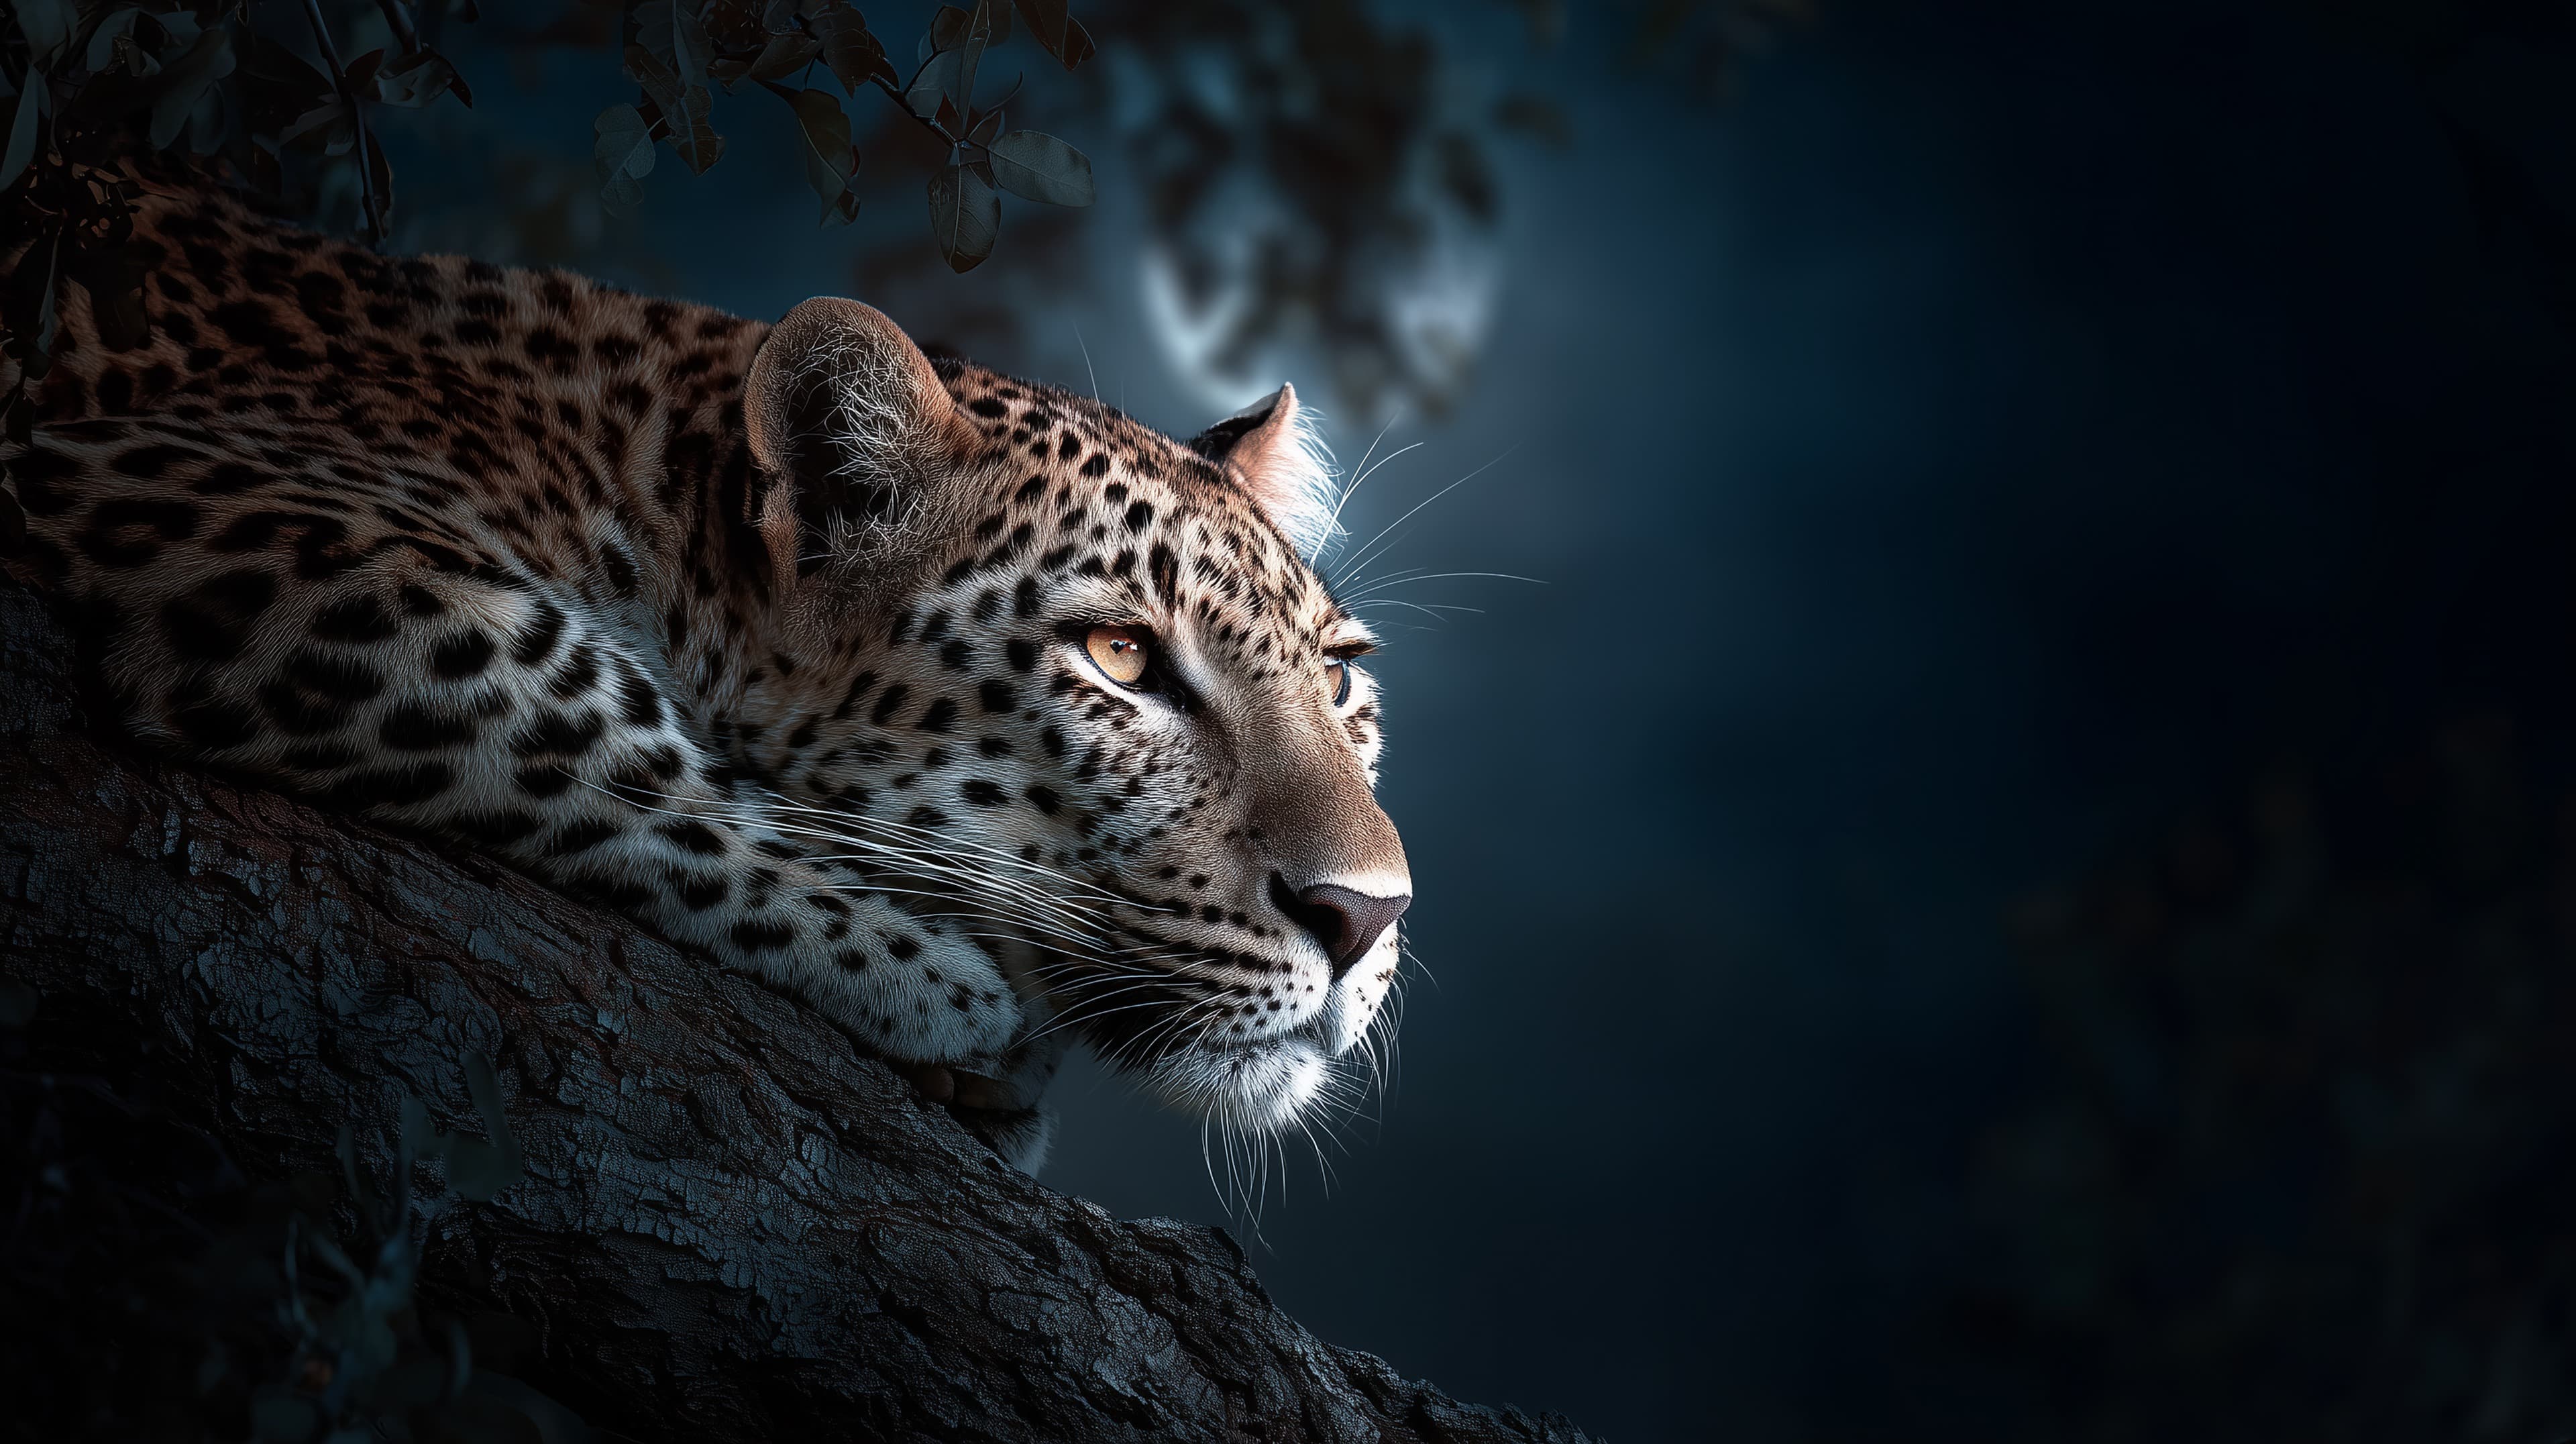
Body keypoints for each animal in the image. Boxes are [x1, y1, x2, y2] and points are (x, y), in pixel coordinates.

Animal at [0, 169, 1411, 1175]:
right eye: (1121, 656)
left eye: (1341, 679)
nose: (1366, 918)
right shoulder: (178, 487)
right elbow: (558, 685)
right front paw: (912, 965)